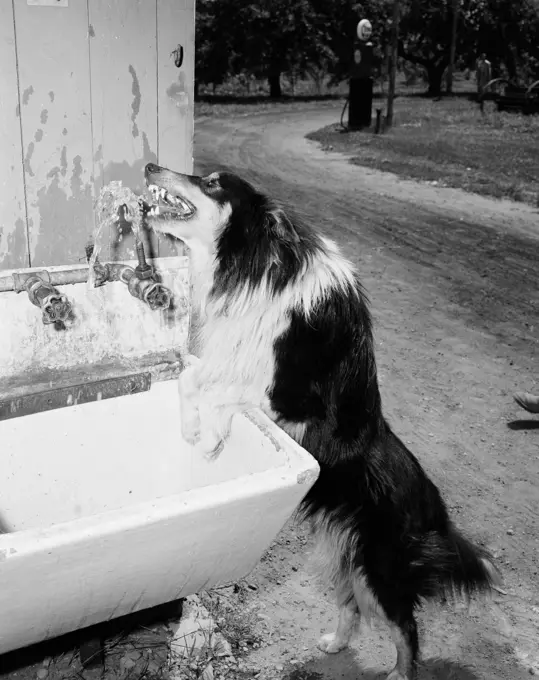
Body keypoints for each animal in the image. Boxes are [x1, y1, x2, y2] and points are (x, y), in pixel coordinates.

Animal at [144, 162, 502, 676]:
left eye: (212, 182)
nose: (151, 166)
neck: (254, 267)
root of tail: (437, 513)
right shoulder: (230, 362)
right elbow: (191, 378)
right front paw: (194, 429)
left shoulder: (291, 399)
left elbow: (224, 391)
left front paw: (210, 437)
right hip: (344, 555)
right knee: (352, 603)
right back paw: (335, 642)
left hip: (379, 568)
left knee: (407, 628)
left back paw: (400, 671)